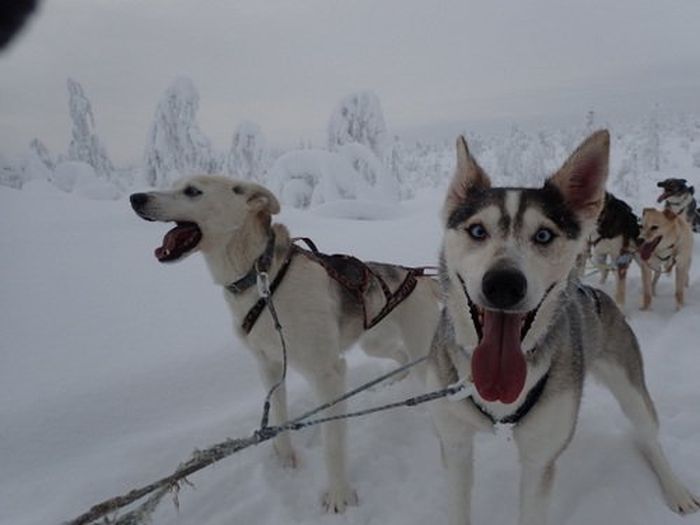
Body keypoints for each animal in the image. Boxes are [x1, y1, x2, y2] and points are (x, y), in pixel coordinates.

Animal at [424, 128, 696, 524]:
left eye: (543, 235)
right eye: (477, 230)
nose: (503, 284)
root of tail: (596, 292)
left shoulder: (539, 460)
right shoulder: (455, 444)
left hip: (630, 389)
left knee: (650, 438)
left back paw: (675, 489)